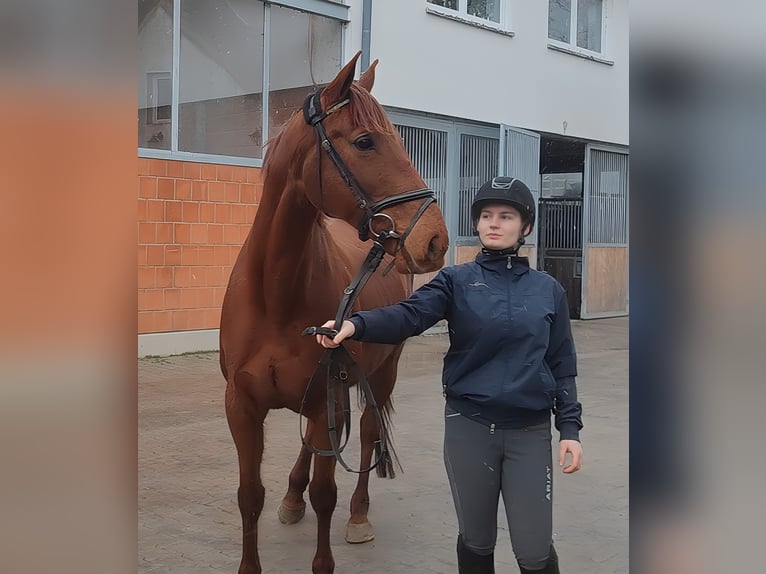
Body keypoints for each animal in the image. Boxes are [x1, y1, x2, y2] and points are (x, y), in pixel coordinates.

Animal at [219, 51, 449, 574]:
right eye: (365, 141)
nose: (434, 239)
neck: (276, 295)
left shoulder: (329, 398)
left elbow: (327, 493)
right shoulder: (242, 406)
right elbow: (249, 495)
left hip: (381, 374)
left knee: (365, 435)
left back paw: (359, 516)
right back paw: (291, 498)